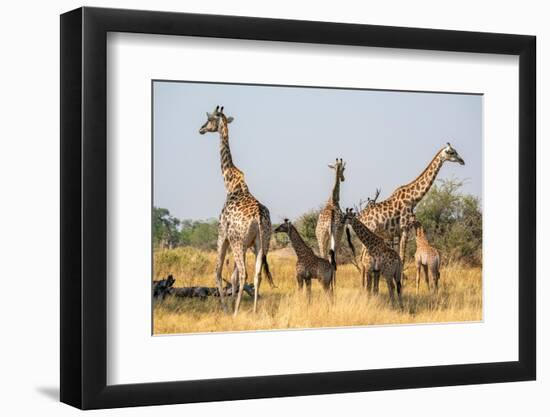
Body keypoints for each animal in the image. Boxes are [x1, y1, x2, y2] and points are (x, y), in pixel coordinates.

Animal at [199, 105, 274, 314]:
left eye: (209, 119)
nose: (200, 129)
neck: (231, 184)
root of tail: (258, 216)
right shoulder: (245, 243)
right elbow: (231, 276)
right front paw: (232, 304)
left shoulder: (223, 234)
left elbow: (218, 271)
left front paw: (227, 308)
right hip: (262, 242)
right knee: (257, 275)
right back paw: (254, 310)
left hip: (237, 242)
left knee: (243, 274)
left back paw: (234, 312)